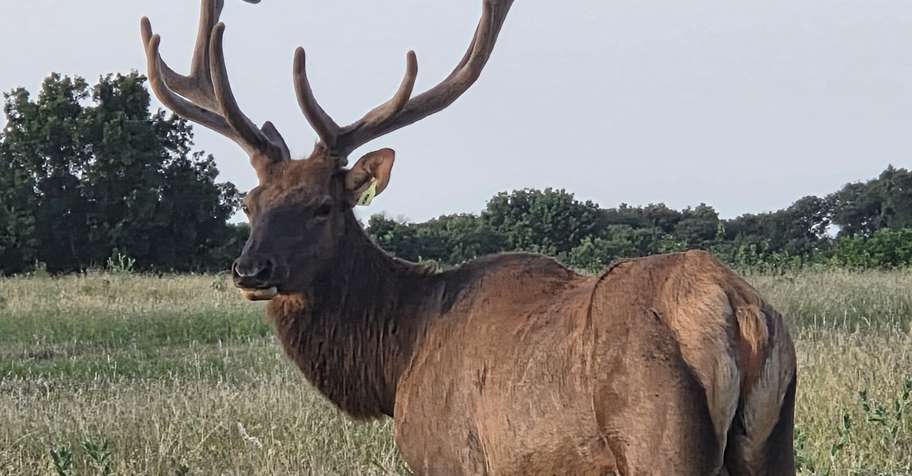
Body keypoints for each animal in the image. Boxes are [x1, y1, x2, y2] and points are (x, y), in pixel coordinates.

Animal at [139, 1, 797, 474]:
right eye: (249, 202)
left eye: (323, 206)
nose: (251, 270)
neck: (397, 359)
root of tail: (736, 316)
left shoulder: (448, 456)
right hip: (773, 440)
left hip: (660, 441)